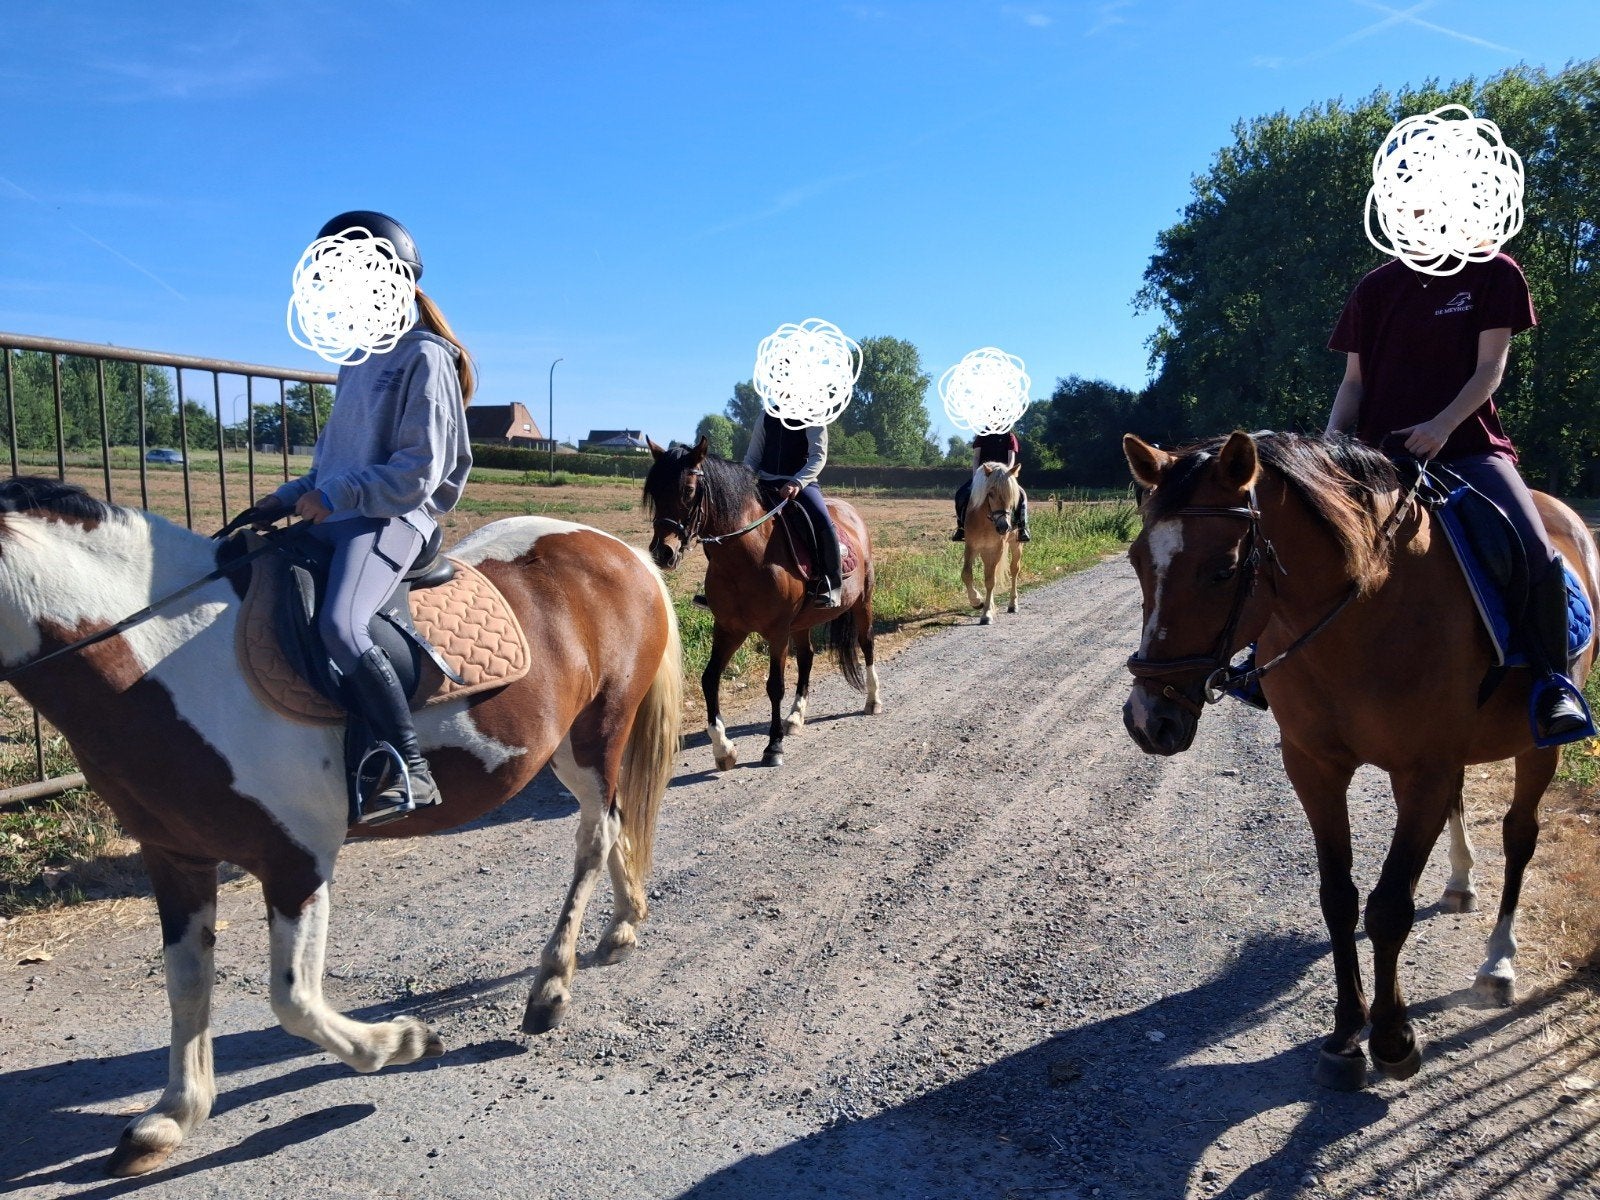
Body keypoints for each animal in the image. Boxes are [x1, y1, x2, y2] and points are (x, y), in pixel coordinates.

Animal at [0, 478, 682, 1176]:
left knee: (594, 840)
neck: (166, 660)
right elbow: (186, 984)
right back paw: (623, 927)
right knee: (616, 825)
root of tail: (619, 552)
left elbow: (295, 1000)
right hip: (570, 751)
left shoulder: (294, 860)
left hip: (596, 735)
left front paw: (403, 1042)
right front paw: (171, 1117)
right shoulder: (175, 857)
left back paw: (551, 988)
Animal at [642, 436, 881, 770]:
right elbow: (709, 679)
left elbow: (775, 685)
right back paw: (795, 717)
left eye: (688, 490)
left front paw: (773, 746)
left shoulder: (777, 631)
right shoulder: (728, 629)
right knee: (807, 656)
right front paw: (723, 748)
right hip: (803, 621)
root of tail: (850, 512)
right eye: (653, 490)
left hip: (862, 601)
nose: (663, 553)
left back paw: (873, 700)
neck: (747, 556)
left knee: (866, 642)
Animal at [961, 461, 1024, 624]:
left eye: (1012, 495)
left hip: (1016, 545)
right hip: (985, 551)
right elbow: (966, 574)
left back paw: (1013, 604)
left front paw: (987, 613)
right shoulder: (971, 546)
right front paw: (977, 601)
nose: (1003, 527)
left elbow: (990, 580)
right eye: (990, 493)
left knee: (1014, 569)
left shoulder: (997, 548)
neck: (985, 521)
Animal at [1120, 431, 1600, 1090]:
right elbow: (1338, 898)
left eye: (1222, 570)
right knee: (1461, 806)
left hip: (1535, 749)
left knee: (1519, 834)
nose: (1148, 721)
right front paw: (1347, 1034)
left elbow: (1389, 906)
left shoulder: (1421, 771)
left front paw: (1394, 1038)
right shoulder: (1314, 768)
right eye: (1137, 561)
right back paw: (1459, 884)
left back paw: (1498, 963)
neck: (1365, 605)